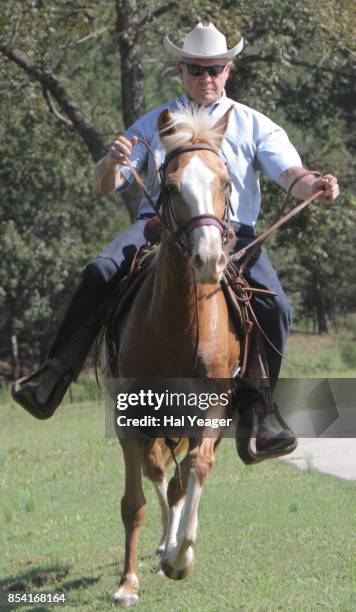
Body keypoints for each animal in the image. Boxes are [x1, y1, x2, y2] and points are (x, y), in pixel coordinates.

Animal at [108, 105, 241, 608]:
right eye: (171, 186)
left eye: (226, 181)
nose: (208, 260)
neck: (175, 329)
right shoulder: (129, 417)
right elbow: (135, 502)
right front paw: (128, 583)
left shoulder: (214, 407)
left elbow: (197, 469)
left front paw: (181, 558)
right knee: (159, 474)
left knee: (181, 477)